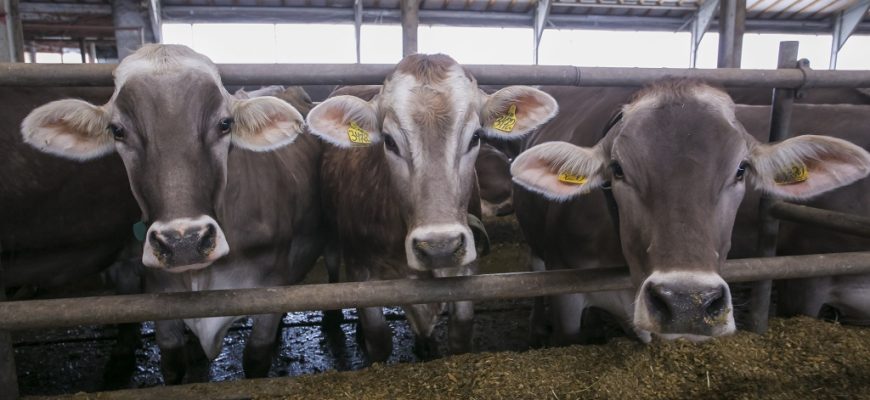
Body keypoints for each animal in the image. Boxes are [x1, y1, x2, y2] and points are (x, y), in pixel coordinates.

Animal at [20, 44, 324, 383]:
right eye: (117, 130)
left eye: (224, 124)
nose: (183, 242)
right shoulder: (161, 301)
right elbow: (173, 365)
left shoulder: (270, 293)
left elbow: (257, 359)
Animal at [305, 54, 557, 361]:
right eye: (389, 141)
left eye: (475, 137)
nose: (440, 247)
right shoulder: (360, 269)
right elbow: (379, 339)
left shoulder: (467, 268)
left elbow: (461, 331)